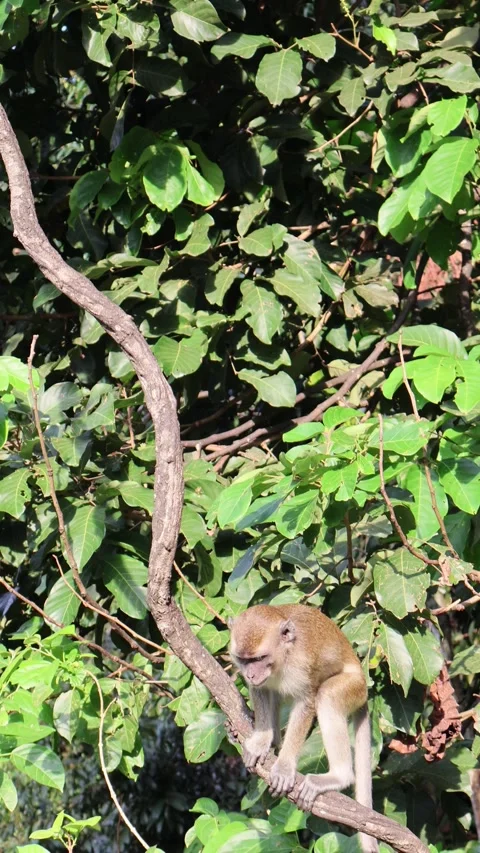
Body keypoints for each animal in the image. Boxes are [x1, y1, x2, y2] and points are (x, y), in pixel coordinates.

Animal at [229, 603, 378, 853]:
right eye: (244, 660)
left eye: (260, 657)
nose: (250, 673)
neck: (284, 655)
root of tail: (364, 690)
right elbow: (260, 690)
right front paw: (260, 741)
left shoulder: (304, 663)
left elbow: (306, 702)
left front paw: (284, 767)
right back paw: (270, 741)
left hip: (354, 688)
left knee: (327, 696)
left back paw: (339, 776)